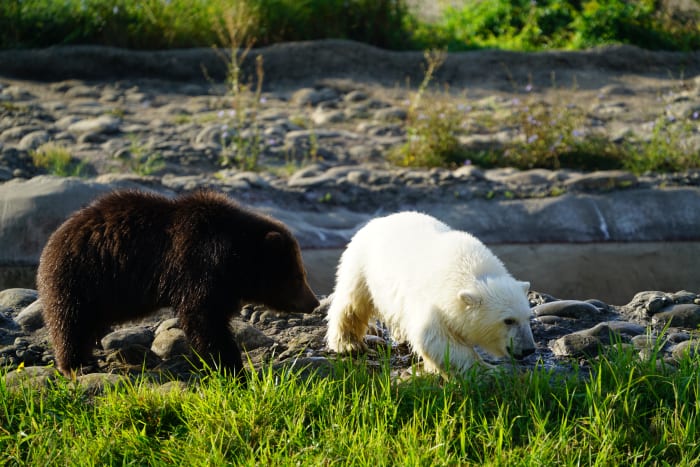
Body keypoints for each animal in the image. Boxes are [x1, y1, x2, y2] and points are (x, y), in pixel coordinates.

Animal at [38, 190, 320, 380]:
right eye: (298, 276)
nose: (314, 302)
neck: (234, 259)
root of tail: (53, 239)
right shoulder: (196, 265)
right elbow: (205, 319)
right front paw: (230, 365)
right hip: (81, 274)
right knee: (70, 321)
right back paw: (77, 365)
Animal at [326, 212, 532, 376]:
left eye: (528, 317)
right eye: (508, 320)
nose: (528, 349)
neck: (470, 269)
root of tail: (378, 220)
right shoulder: (433, 302)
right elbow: (436, 339)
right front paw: (487, 370)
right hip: (361, 265)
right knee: (352, 303)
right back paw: (348, 343)